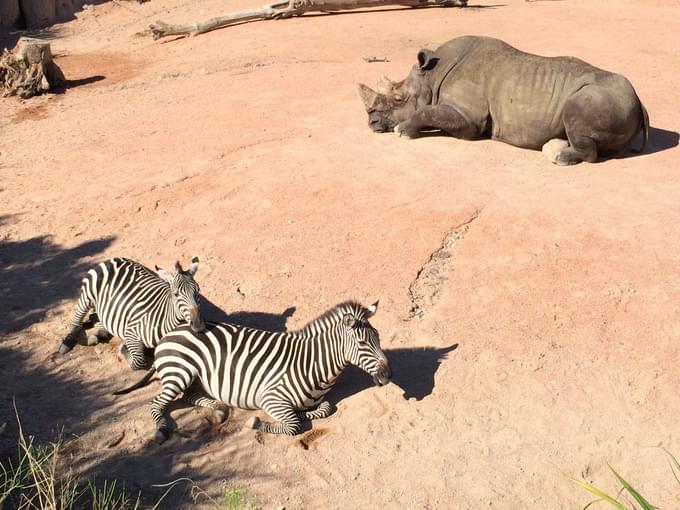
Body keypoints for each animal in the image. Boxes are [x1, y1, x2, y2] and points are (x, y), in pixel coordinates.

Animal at [57, 255, 206, 370]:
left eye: (198, 291)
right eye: (175, 294)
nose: (199, 326)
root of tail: (113, 259)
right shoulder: (131, 331)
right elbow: (138, 362)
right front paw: (123, 348)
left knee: (97, 320)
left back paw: (94, 334)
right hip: (87, 296)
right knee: (75, 322)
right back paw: (67, 343)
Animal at [111, 298, 388, 442]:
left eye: (378, 337)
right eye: (363, 343)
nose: (389, 375)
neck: (310, 363)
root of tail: (170, 332)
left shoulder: (318, 402)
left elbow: (326, 408)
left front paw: (305, 413)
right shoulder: (270, 398)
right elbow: (293, 426)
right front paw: (257, 422)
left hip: (194, 378)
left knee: (190, 396)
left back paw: (219, 408)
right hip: (180, 372)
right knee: (157, 403)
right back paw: (161, 429)